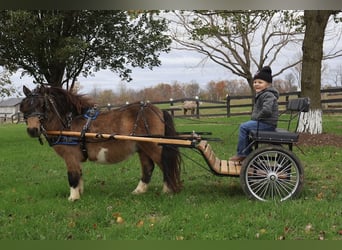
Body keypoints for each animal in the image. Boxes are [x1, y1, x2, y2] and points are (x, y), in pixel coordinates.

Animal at [20, 85, 183, 201]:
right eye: (24, 106)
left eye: (42, 105)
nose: (32, 130)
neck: (68, 123)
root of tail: (159, 111)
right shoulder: (75, 157)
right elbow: (79, 174)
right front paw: (80, 193)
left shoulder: (69, 155)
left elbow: (72, 176)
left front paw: (73, 197)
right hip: (142, 147)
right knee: (148, 168)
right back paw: (139, 190)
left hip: (153, 146)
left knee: (165, 164)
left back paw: (167, 190)